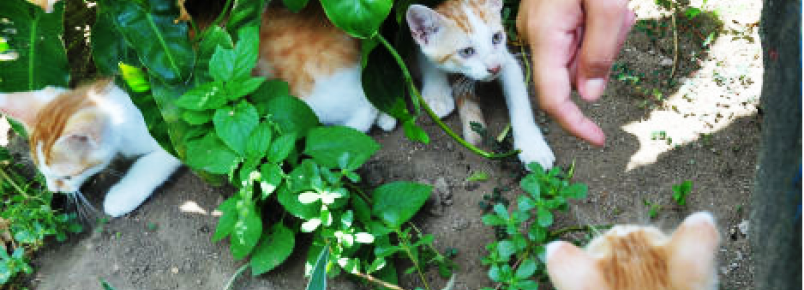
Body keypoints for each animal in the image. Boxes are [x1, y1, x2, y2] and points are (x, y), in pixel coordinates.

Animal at [0, 80, 181, 216]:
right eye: (43, 173)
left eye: (67, 177)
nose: (53, 189)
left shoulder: (175, 142)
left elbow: (149, 165)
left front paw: (120, 197)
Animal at [406, 0, 556, 169]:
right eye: (467, 51)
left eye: (496, 38)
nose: (495, 68)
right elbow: (426, 60)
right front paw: (437, 95)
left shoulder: (506, 60)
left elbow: (519, 99)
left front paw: (533, 146)